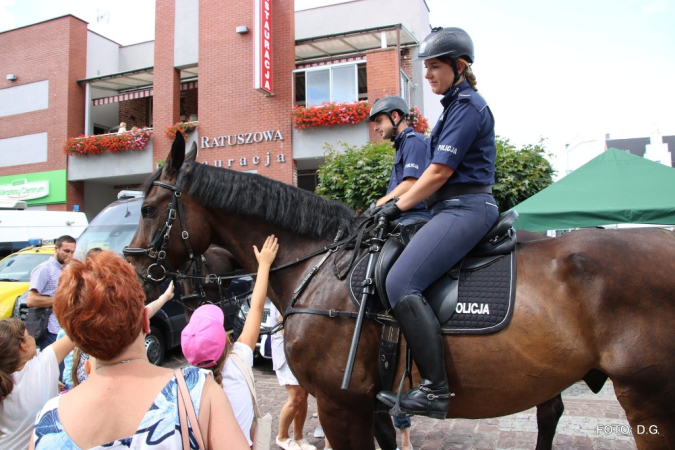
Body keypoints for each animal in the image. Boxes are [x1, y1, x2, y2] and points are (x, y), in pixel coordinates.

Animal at [125, 139, 675, 448]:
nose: (136, 275)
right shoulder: (371, 407)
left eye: (148, 208)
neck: (317, 264)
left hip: (648, 398)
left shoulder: (340, 405)